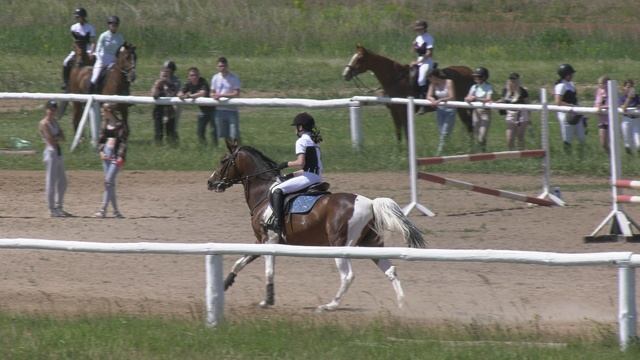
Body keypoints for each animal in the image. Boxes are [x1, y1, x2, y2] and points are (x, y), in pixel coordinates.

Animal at [205, 141, 424, 312]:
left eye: (223, 160)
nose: (210, 182)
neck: (263, 193)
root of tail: (370, 203)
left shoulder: (269, 240)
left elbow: (268, 270)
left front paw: (267, 300)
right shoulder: (260, 241)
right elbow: (239, 263)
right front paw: (222, 287)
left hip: (340, 246)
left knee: (348, 276)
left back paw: (330, 305)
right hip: (371, 244)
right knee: (391, 271)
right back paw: (402, 305)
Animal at [340, 46, 476, 143]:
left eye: (359, 59)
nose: (345, 74)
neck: (395, 79)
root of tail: (469, 71)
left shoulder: (404, 111)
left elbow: (406, 132)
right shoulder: (394, 111)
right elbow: (398, 132)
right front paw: (399, 153)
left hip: (461, 107)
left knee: (469, 125)